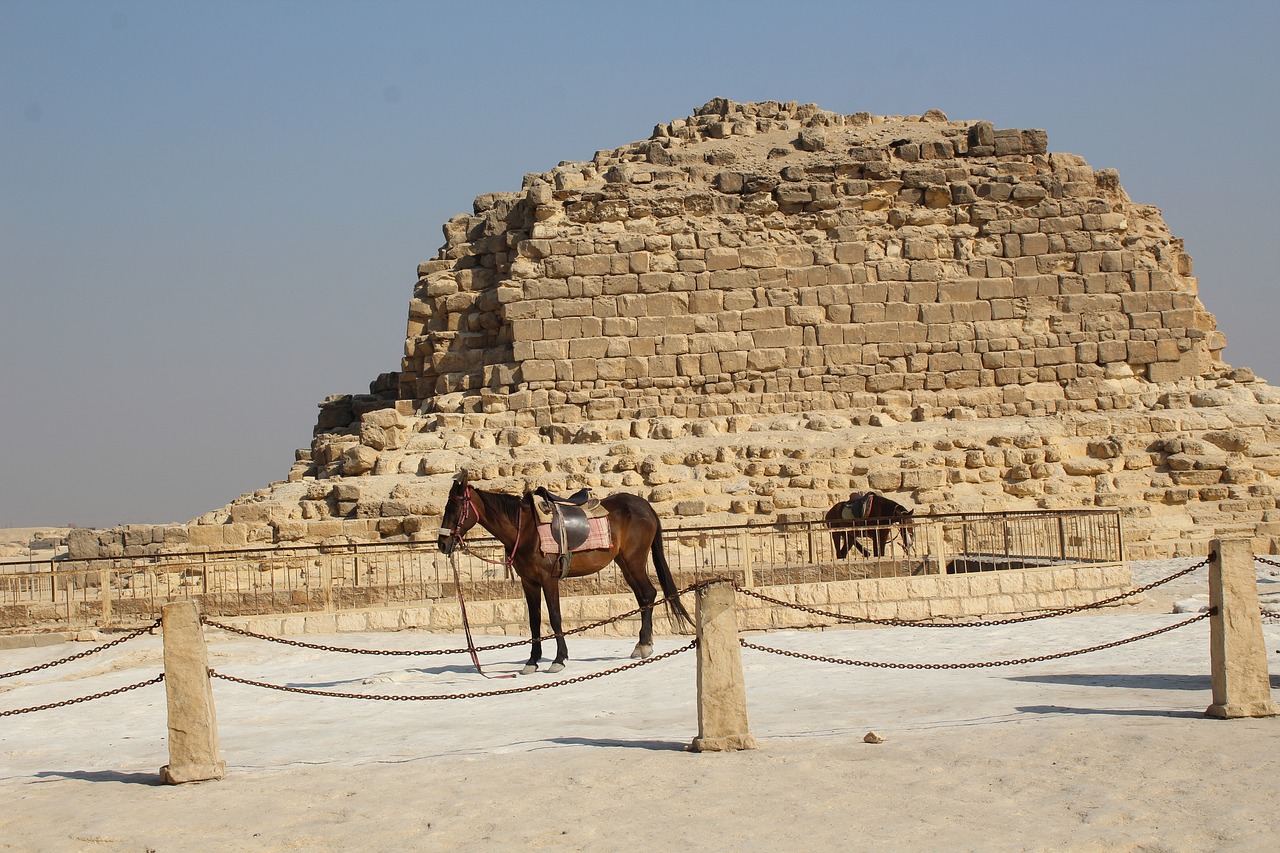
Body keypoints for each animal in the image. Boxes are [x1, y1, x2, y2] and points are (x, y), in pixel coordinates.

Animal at [435, 471, 691, 671]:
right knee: (643, 597)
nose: (442, 544)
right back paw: (643, 644)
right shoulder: (528, 582)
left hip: (634, 560)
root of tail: (644, 506)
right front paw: (532, 661)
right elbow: (534, 619)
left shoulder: (549, 579)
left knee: (648, 594)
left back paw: (644, 645)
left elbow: (555, 617)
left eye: (455, 506)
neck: (525, 530)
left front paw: (559, 659)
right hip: (624, 562)